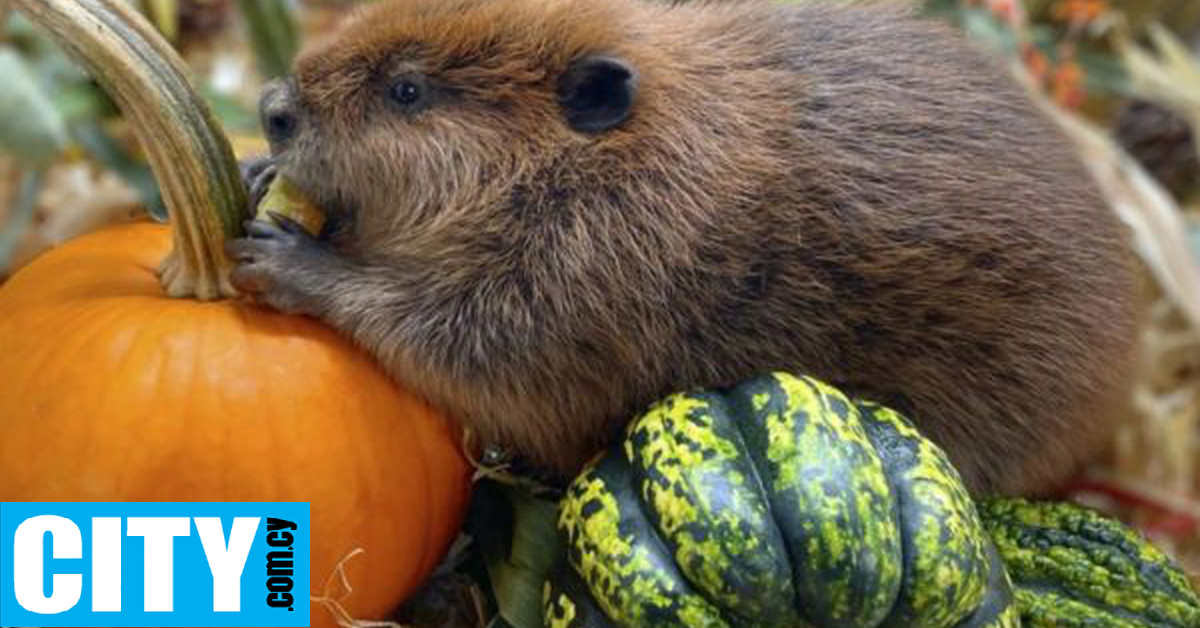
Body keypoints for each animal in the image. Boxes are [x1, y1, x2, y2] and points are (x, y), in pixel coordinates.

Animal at [229, 0, 1137, 497]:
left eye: (408, 88)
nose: (275, 108)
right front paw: (255, 172)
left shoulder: (595, 272)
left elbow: (473, 347)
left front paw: (284, 257)